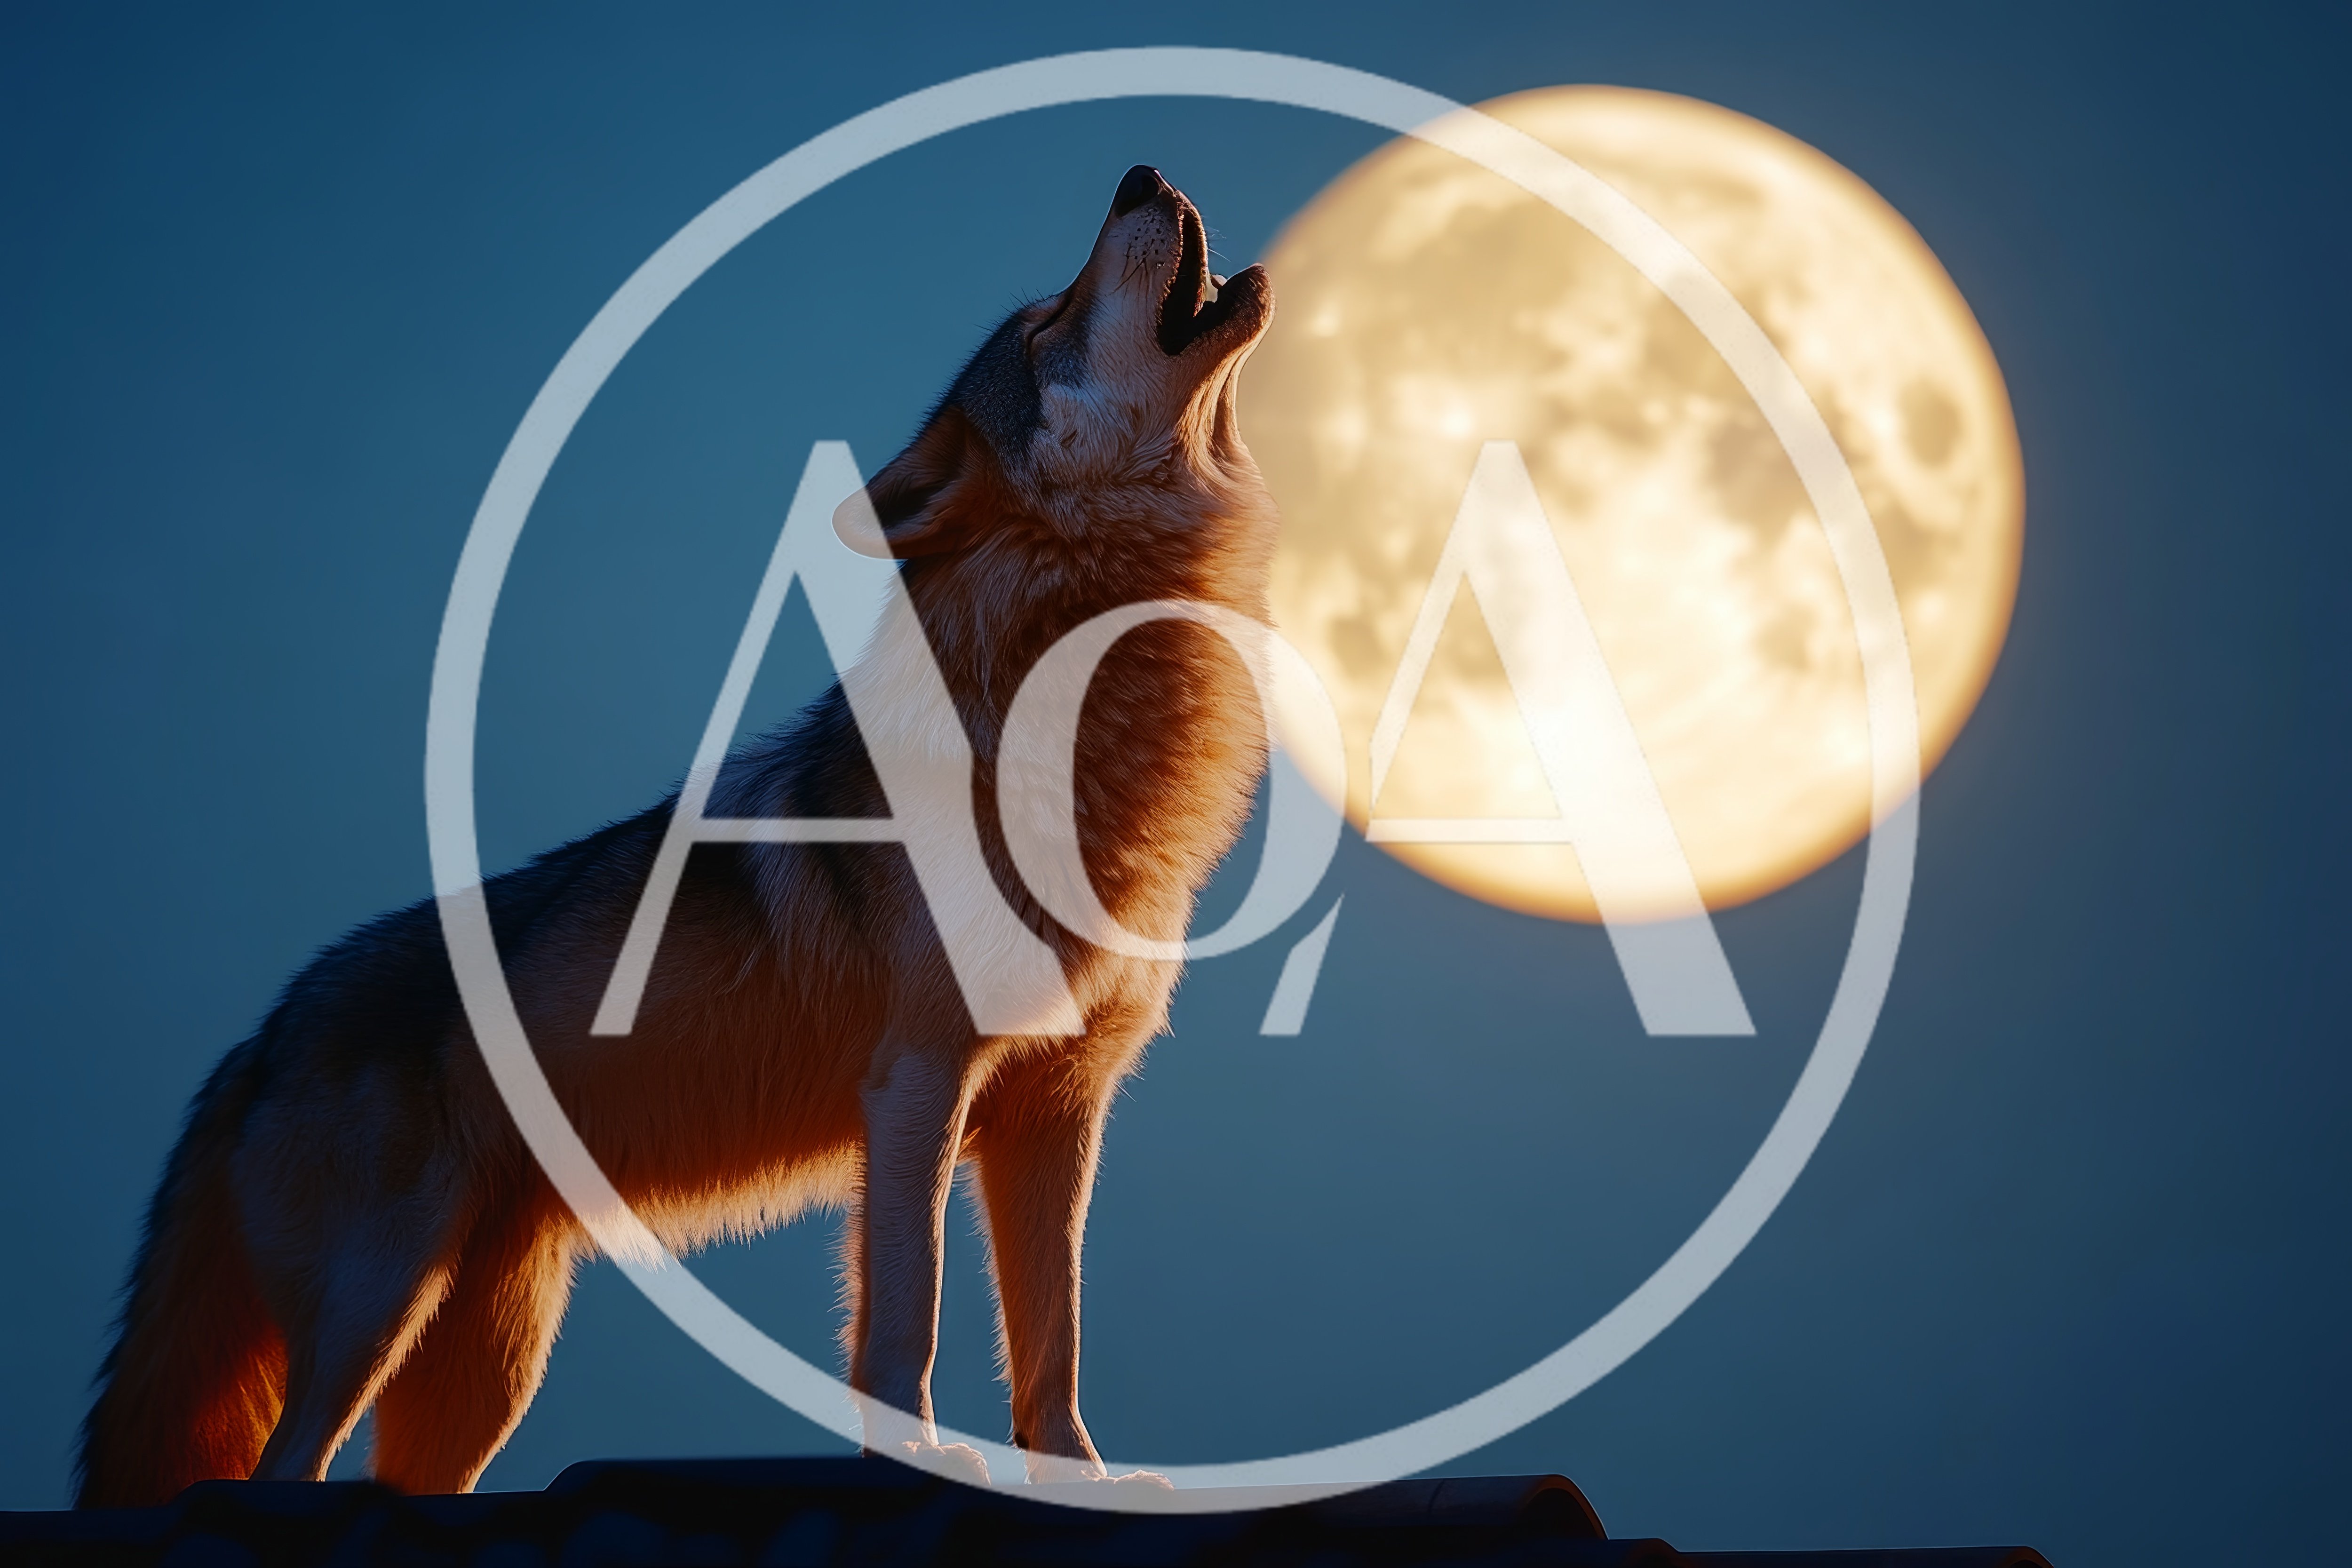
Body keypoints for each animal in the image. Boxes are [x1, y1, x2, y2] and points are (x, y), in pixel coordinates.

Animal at [78, 164, 1277, 1506]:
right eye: (1046, 325)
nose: (1140, 175)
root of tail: (257, 1039)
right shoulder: (918, 1081)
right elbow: (906, 1317)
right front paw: (917, 1457)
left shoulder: (1058, 1114)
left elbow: (1053, 1340)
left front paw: (1083, 1477)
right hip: (378, 1306)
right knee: (281, 1471)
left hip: (486, 1369)